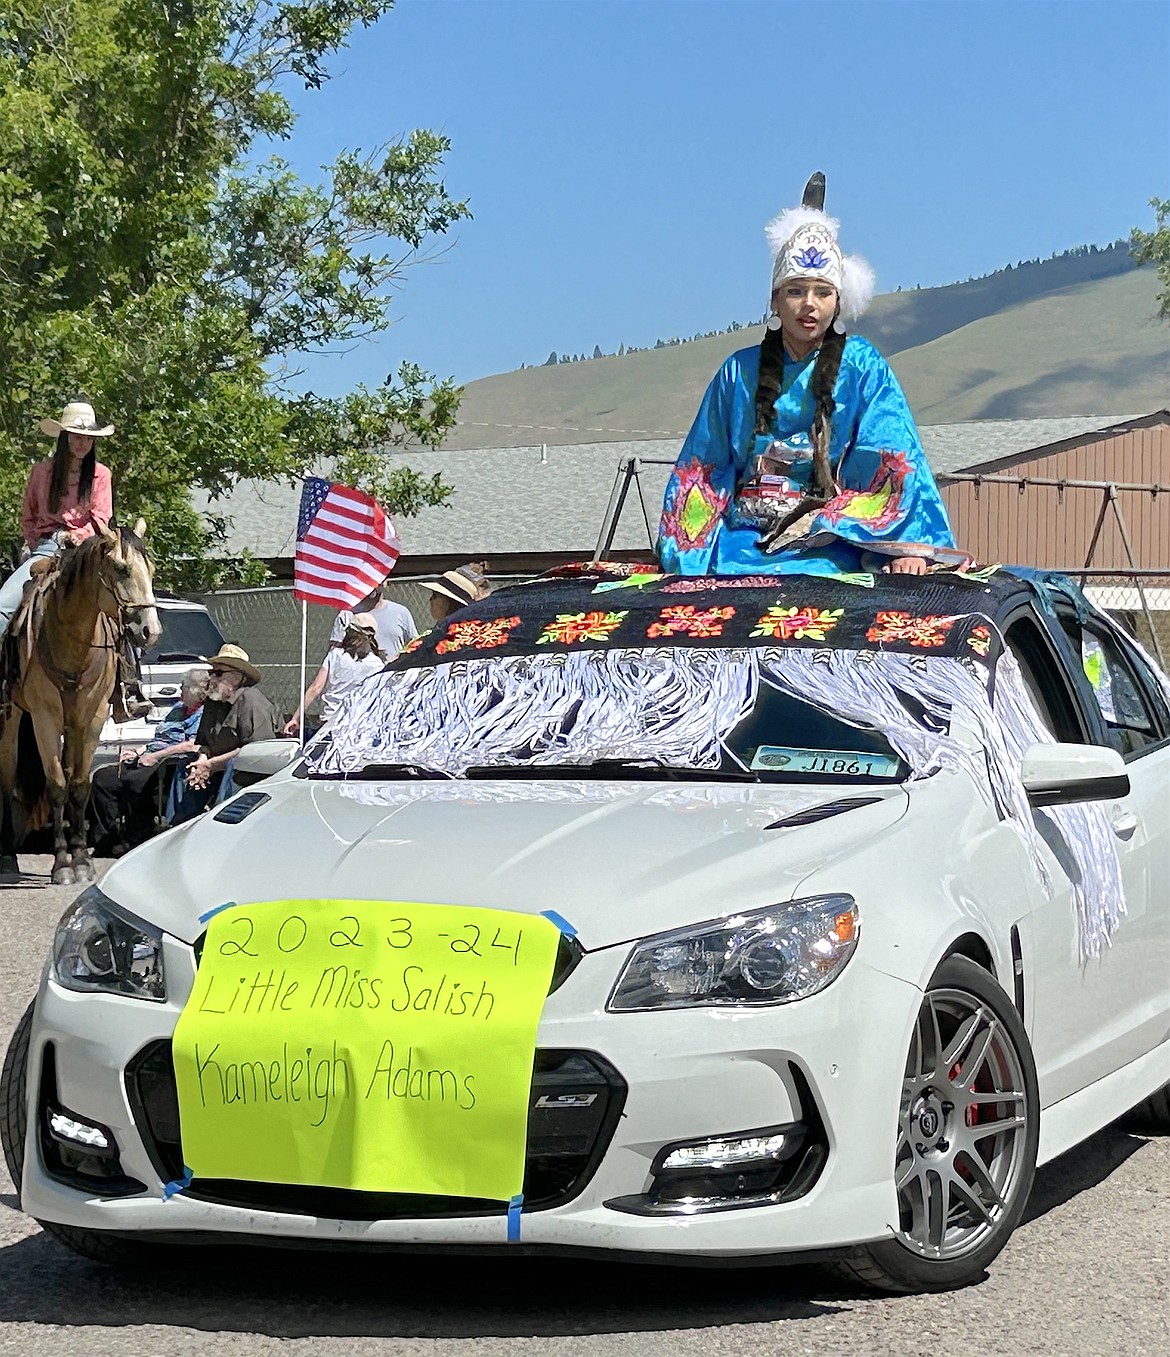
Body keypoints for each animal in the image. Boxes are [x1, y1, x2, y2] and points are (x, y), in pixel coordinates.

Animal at [0, 521, 160, 890]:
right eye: (121, 569)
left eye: (151, 570)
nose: (151, 631)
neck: (73, 644)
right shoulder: (45, 718)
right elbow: (58, 786)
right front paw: (61, 864)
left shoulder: (91, 718)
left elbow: (79, 785)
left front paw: (82, 860)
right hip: (11, 719)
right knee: (6, 780)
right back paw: (7, 858)